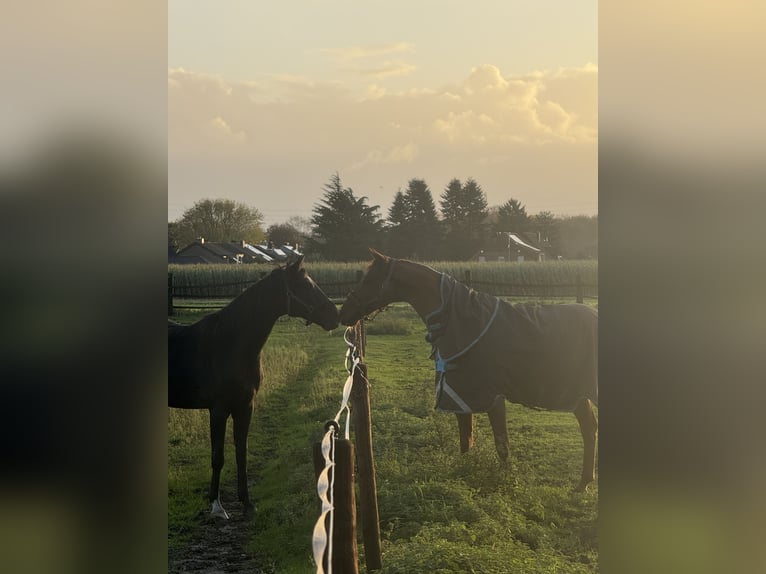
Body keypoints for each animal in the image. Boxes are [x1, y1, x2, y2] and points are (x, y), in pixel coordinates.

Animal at [168, 256, 339, 519]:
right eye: (304, 286)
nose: (335, 315)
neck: (230, 344)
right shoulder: (218, 410)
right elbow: (218, 457)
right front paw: (216, 506)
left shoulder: (245, 407)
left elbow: (242, 453)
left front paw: (247, 504)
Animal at [339, 249, 598, 491]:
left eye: (370, 279)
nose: (343, 313)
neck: (458, 322)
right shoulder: (460, 397)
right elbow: (467, 442)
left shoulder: (489, 397)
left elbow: (501, 445)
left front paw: (506, 482)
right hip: (578, 395)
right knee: (589, 428)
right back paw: (582, 484)